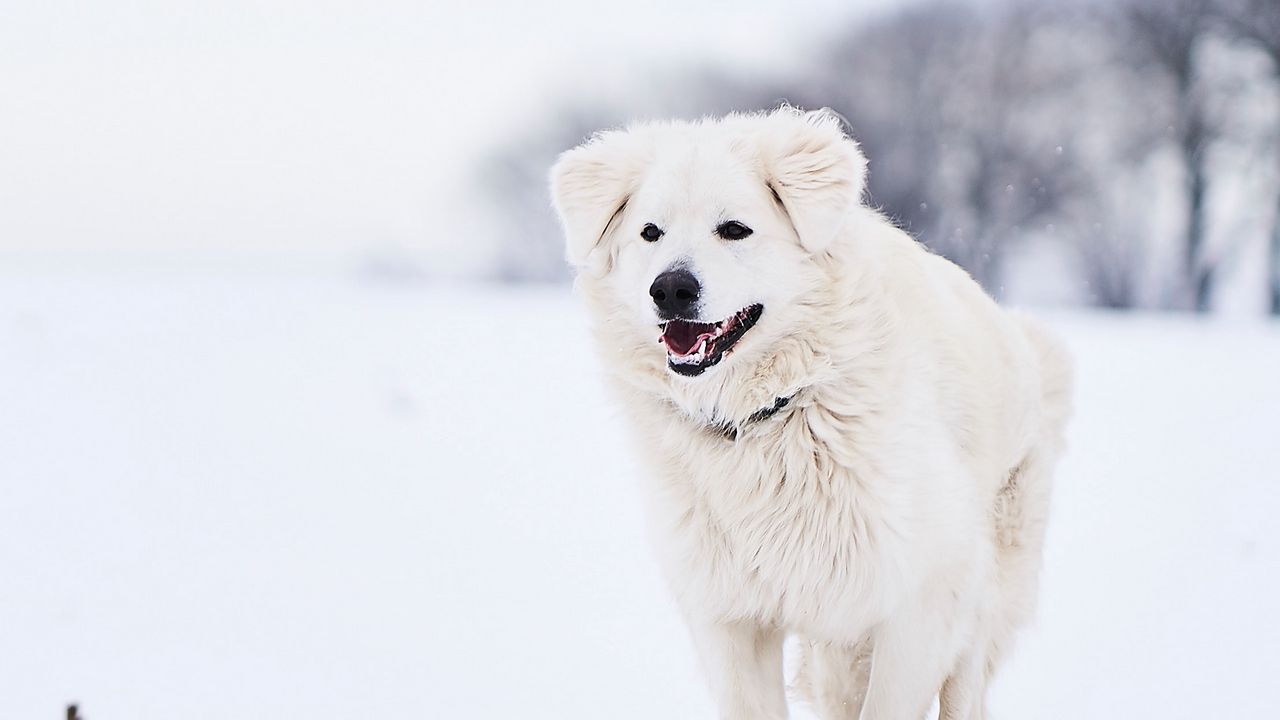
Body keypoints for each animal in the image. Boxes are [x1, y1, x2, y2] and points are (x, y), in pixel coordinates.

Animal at [547, 107, 1070, 717]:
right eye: (650, 233)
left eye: (734, 229)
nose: (670, 288)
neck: (770, 416)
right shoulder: (731, 619)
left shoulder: (921, 602)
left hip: (982, 594)